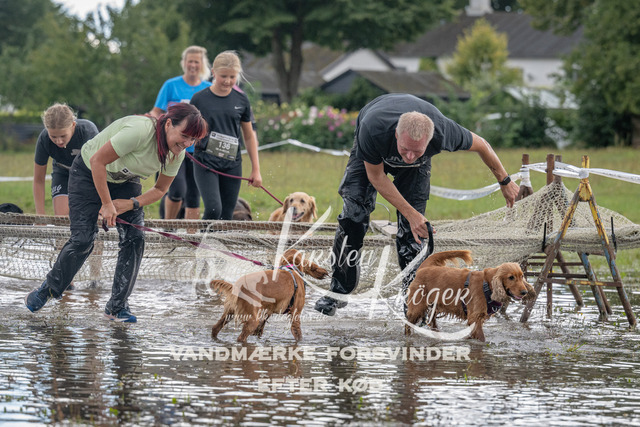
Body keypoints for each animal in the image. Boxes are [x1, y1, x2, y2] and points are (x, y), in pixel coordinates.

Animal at [405, 250, 536, 342]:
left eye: (521, 276)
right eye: (511, 277)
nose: (524, 292)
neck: (487, 284)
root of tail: (425, 267)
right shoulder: (474, 317)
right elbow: (482, 338)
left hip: (434, 307)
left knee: (432, 323)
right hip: (417, 308)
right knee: (408, 324)